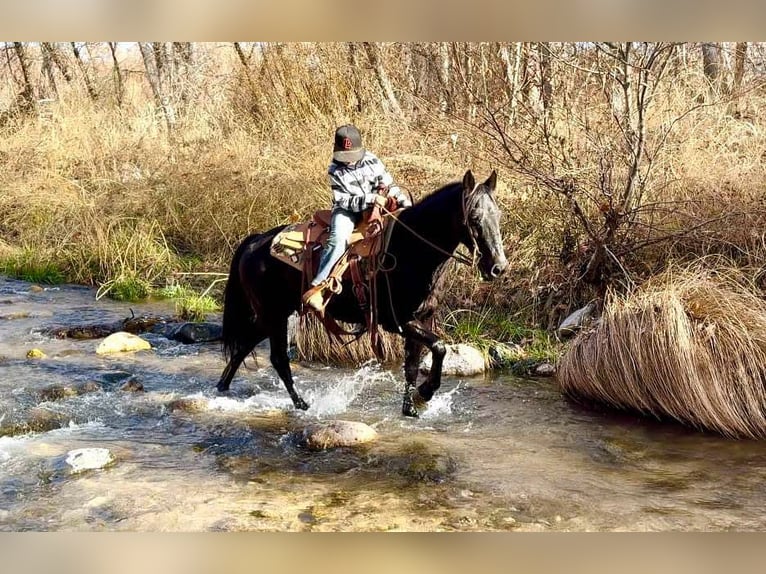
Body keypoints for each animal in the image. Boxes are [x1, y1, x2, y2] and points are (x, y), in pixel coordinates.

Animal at [216, 171, 510, 418]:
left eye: (498, 216)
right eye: (474, 218)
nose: (498, 267)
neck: (411, 249)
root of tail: (255, 241)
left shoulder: (423, 318)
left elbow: (414, 364)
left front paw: (412, 406)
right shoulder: (401, 321)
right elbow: (439, 347)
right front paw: (424, 394)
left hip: (272, 314)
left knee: (243, 347)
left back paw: (222, 389)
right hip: (274, 314)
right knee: (277, 358)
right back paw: (303, 405)